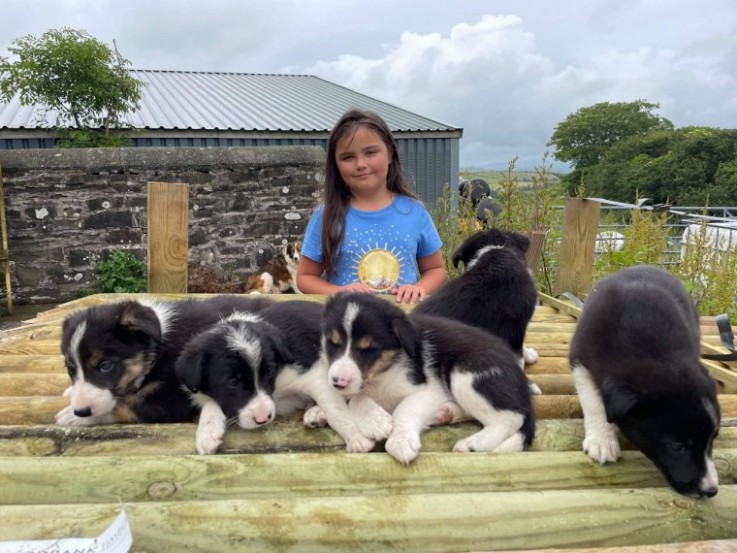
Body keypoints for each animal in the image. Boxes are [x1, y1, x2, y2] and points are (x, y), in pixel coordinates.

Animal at [55, 296, 274, 424]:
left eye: (105, 366)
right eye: (70, 368)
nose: (81, 411)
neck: (157, 349)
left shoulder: (176, 397)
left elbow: (128, 405)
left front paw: (72, 417)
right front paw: (70, 393)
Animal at [174, 300, 392, 454]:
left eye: (269, 373)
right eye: (233, 383)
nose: (263, 419)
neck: (276, 390)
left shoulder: (314, 375)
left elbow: (337, 411)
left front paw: (356, 438)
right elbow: (211, 403)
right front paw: (207, 432)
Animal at [322, 292, 536, 464]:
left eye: (368, 349)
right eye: (333, 343)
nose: (338, 382)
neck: (383, 372)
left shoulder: (431, 390)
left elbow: (404, 409)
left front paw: (400, 441)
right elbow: (355, 398)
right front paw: (376, 421)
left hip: (464, 375)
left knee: (511, 418)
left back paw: (471, 444)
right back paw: (447, 413)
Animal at [568, 266, 720, 498]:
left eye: (713, 440)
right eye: (676, 446)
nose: (711, 490)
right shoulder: (580, 358)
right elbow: (593, 401)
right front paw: (602, 441)